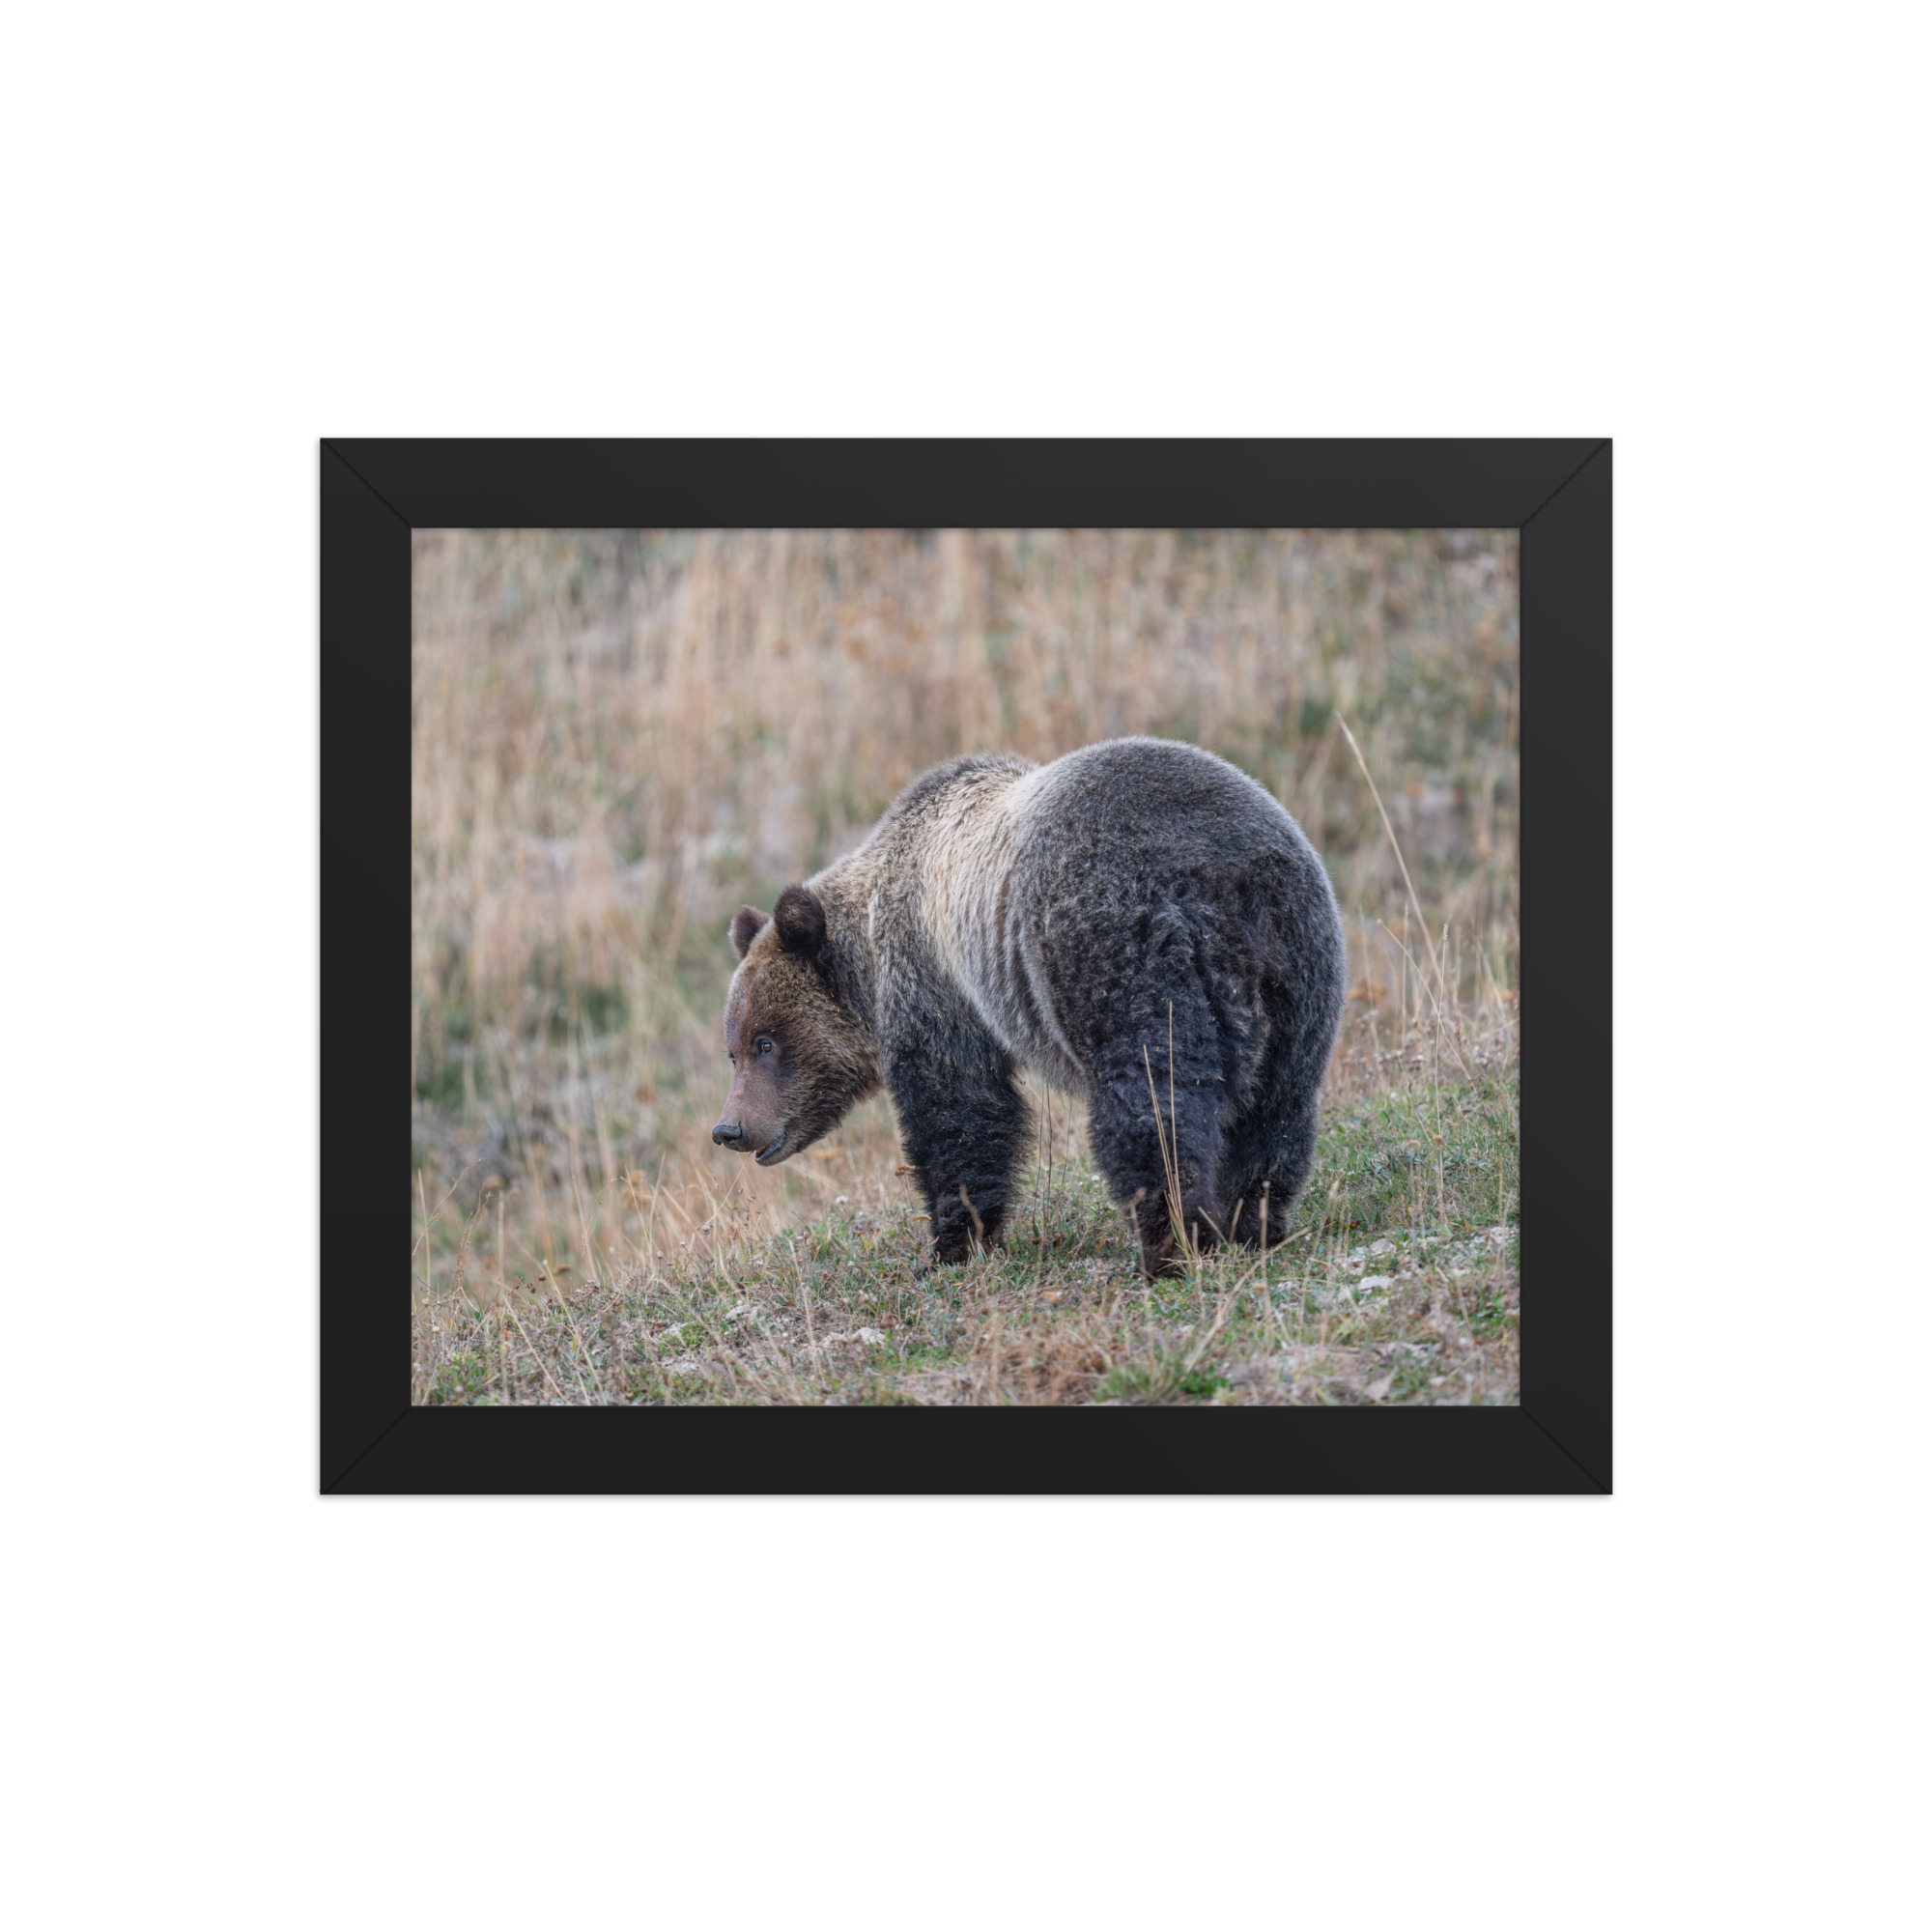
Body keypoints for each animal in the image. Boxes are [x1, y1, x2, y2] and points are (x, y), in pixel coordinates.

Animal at [711, 737, 1346, 1278]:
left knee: (1153, 1103)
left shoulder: (937, 984)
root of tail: (1221, 877)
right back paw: (1252, 1223)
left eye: (766, 1042)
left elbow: (960, 1112)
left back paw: (1170, 1244)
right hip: (1298, 966)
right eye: (733, 1050)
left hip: (1118, 948)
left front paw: (951, 1246)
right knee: (1276, 1107)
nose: (730, 1128)